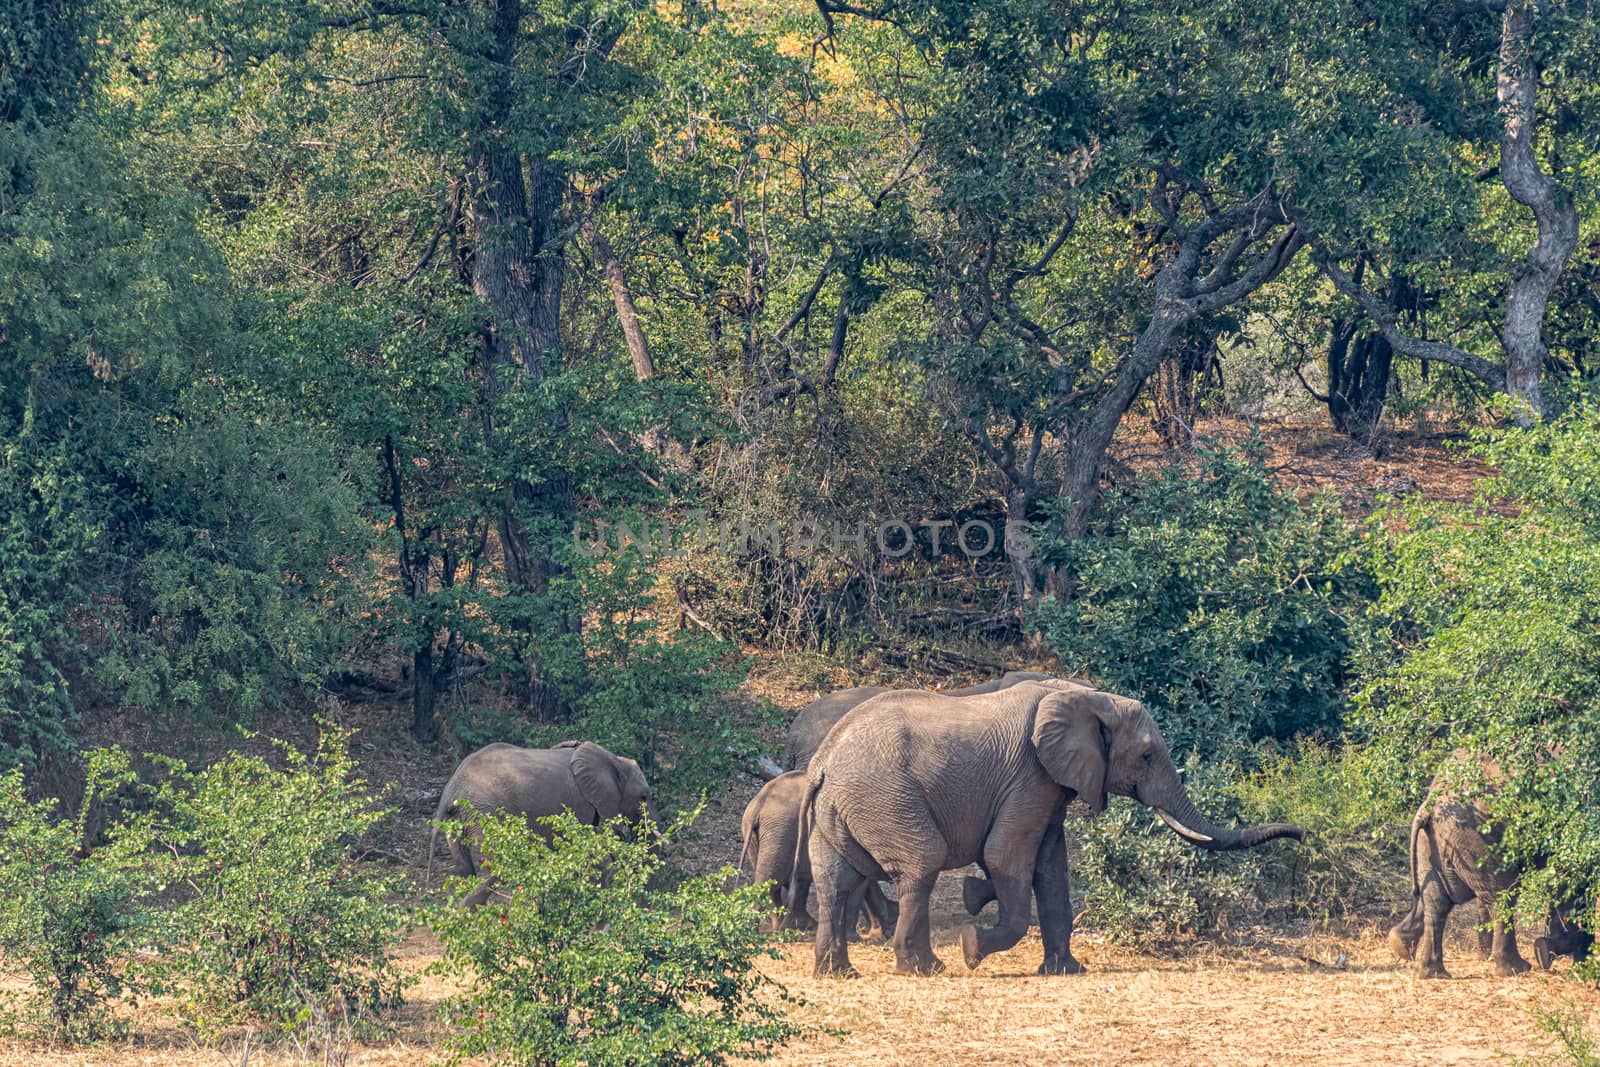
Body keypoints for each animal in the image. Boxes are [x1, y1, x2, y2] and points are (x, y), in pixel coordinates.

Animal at [432, 742, 656, 908]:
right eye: (644, 797)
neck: (615, 760)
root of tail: (451, 790)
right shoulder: (578, 805)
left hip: (458, 818)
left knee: (464, 866)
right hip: (485, 813)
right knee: (497, 866)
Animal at [739, 771, 902, 940]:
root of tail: (758, 805)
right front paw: (858, 937)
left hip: (765, 837)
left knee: (773, 884)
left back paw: (781, 928)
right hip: (779, 834)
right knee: (772, 881)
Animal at [806, 684, 1305, 979]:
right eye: (1146, 757)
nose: (1303, 836)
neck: (1088, 696)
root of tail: (823, 763)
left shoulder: (1049, 785)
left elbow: (1050, 867)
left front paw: (1067, 970)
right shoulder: (1029, 776)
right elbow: (1006, 857)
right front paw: (973, 944)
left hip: (841, 811)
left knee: (835, 882)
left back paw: (837, 974)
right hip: (885, 798)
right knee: (920, 863)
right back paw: (927, 969)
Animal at [1382, 751, 1593, 979]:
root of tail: (1430, 807)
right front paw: (1570, 956)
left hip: (1437, 845)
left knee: (1436, 901)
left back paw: (1423, 965)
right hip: (1479, 837)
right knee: (1501, 897)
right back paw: (1515, 969)